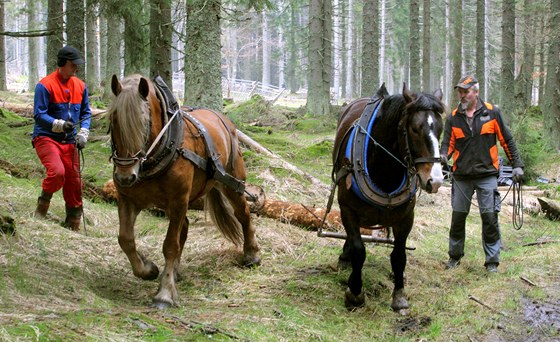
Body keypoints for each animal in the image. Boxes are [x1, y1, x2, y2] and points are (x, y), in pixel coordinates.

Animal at [108, 73, 262, 308]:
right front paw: (148, 269)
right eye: (113, 120)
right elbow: (125, 239)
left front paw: (164, 293)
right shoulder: (127, 199)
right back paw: (174, 271)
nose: (125, 176)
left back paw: (251, 254)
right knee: (185, 227)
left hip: (231, 183)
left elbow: (170, 245)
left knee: (243, 214)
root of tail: (223, 120)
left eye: (144, 123)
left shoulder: (179, 200)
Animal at [332, 84, 446, 312]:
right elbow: (358, 249)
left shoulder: (406, 217)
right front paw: (354, 292)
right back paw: (345, 258)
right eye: (415, 128)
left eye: (440, 129)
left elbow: (399, 254)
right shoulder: (347, 209)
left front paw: (399, 295)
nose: (435, 180)